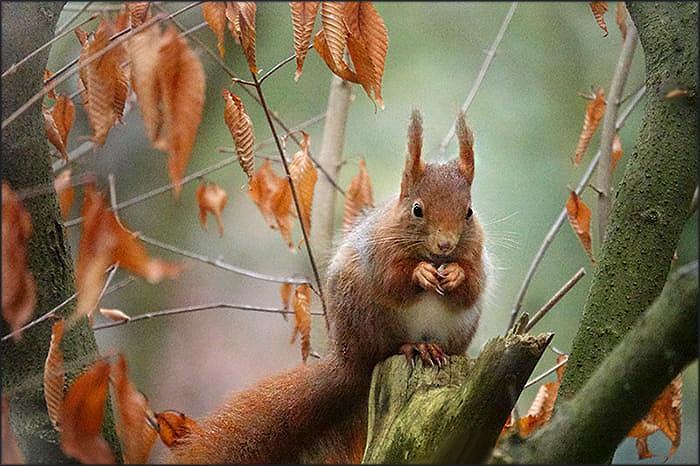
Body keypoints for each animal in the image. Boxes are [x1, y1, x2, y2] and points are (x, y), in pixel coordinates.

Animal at [169, 110, 489, 463]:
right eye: (417, 209)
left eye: (469, 212)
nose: (445, 245)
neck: (432, 255)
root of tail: (348, 364)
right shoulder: (376, 250)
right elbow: (392, 280)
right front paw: (419, 273)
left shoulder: (477, 255)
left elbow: (473, 286)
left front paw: (456, 274)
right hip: (366, 317)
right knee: (385, 349)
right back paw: (413, 347)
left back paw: (437, 349)